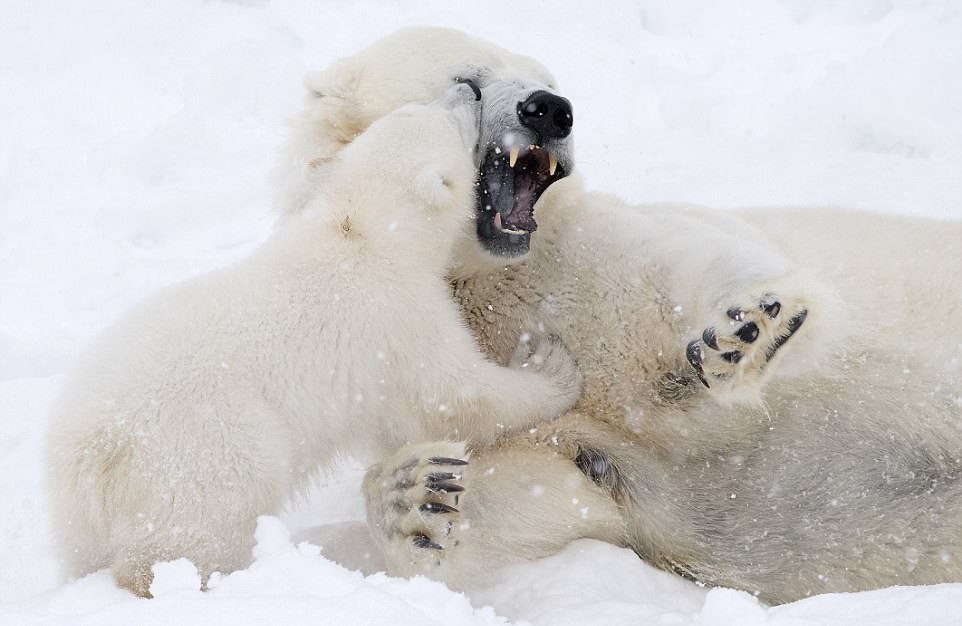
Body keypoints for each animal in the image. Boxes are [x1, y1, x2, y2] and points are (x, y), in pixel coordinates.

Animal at [47, 84, 576, 596]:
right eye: (447, 119)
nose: (469, 89)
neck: (360, 230)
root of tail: (94, 453)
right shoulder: (398, 317)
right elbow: (455, 396)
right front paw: (550, 364)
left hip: (80, 516)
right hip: (206, 449)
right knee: (199, 531)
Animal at [268, 28, 960, 600]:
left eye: (542, 74)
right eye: (469, 80)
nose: (549, 108)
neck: (495, 282)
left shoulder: (590, 254)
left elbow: (697, 263)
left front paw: (749, 330)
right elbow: (541, 487)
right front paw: (416, 495)